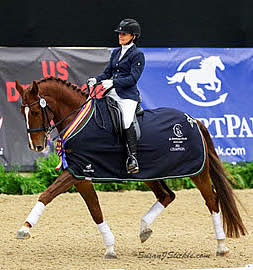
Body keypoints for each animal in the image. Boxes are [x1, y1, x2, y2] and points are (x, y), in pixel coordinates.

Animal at [14, 77, 246, 258]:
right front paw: (110, 248)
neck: (81, 121)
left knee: (211, 200)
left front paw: (24, 229)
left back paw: (221, 246)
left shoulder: (78, 170)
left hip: (197, 172)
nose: (36, 146)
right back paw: (144, 229)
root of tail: (194, 120)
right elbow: (95, 210)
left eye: (36, 111)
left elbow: (47, 194)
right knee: (167, 195)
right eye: (21, 112)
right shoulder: (79, 175)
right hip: (150, 173)